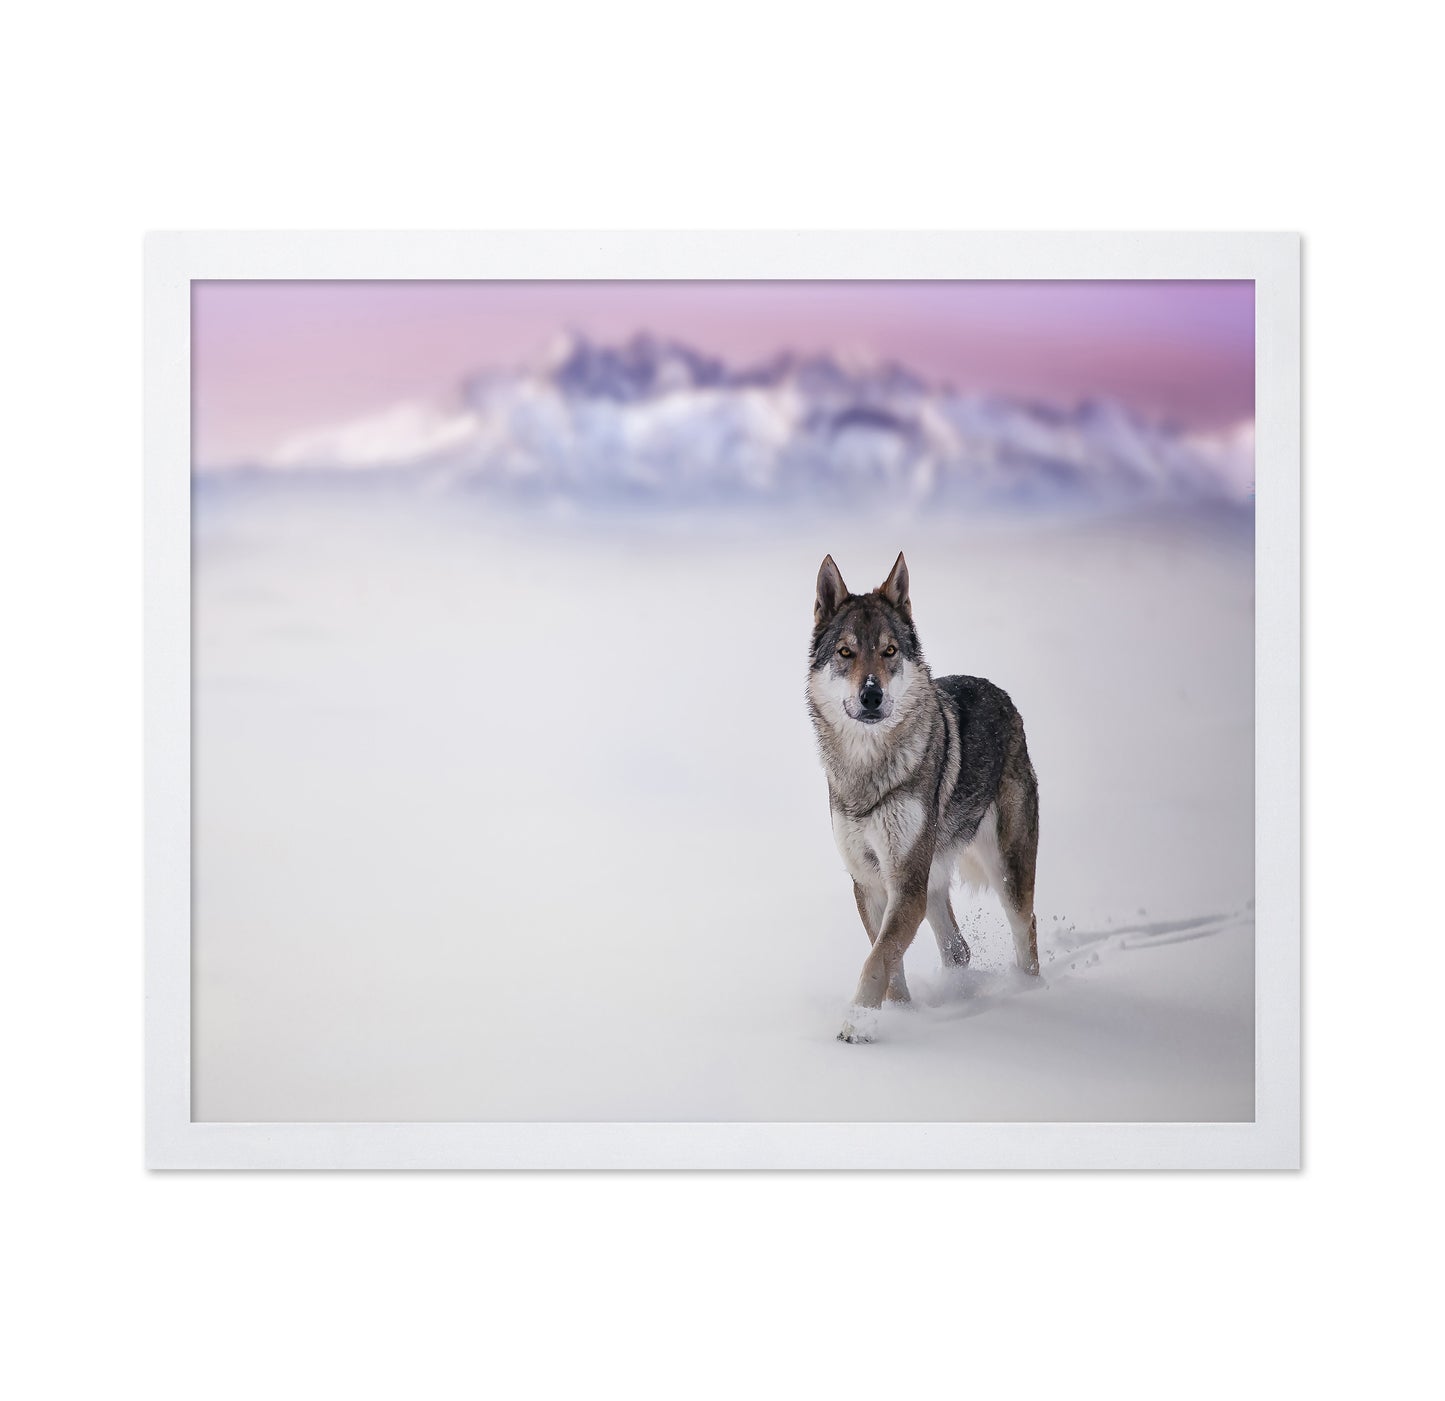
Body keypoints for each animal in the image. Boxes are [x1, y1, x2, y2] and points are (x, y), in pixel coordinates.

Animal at [807, 552, 1041, 1043]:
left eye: (890, 651)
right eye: (845, 653)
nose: (871, 695)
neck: (868, 772)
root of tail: (1003, 695)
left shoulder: (905, 885)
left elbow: (877, 959)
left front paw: (855, 1027)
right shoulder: (871, 883)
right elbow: (888, 960)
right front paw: (898, 1015)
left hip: (1005, 873)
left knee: (1026, 926)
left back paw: (1031, 993)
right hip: (932, 883)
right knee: (959, 949)